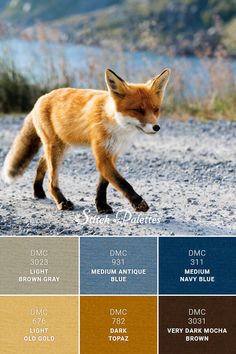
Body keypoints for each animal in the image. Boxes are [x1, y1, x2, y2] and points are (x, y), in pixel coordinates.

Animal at [2, 68, 171, 213]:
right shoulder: (102, 154)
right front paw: (138, 203)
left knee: (41, 163)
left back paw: (38, 191)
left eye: (156, 109)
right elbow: (122, 182)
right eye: (138, 110)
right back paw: (61, 201)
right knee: (51, 180)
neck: (117, 126)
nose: (156, 127)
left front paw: (101, 206)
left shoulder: (113, 154)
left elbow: (103, 184)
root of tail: (41, 97)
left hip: (61, 146)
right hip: (56, 148)